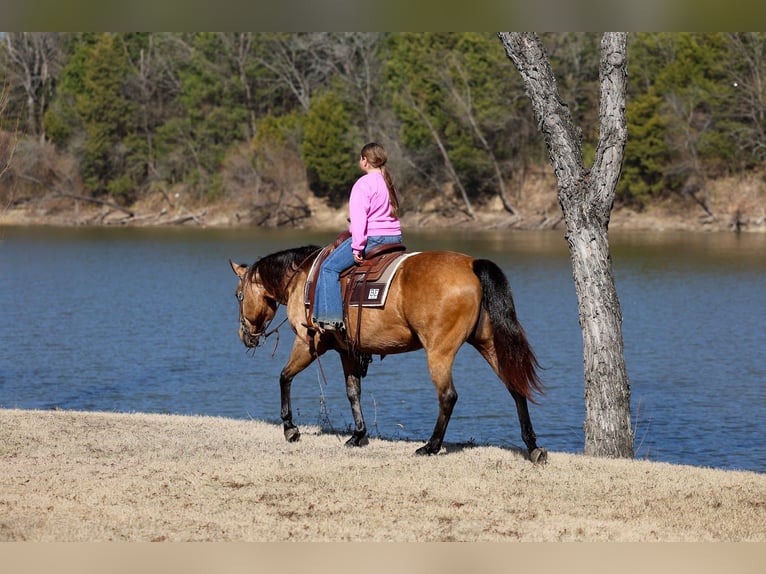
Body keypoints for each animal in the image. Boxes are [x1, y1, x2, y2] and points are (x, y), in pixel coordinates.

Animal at [229, 243, 547, 463]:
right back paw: (532, 446)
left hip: (439, 351)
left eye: (238, 295)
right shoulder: (347, 350)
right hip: (489, 344)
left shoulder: (309, 343)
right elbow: (353, 391)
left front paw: (289, 428)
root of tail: (471, 264)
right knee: (515, 387)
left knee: (448, 396)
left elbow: (284, 377)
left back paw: (431, 446)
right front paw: (358, 435)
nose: (244, 336)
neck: (303, 278)